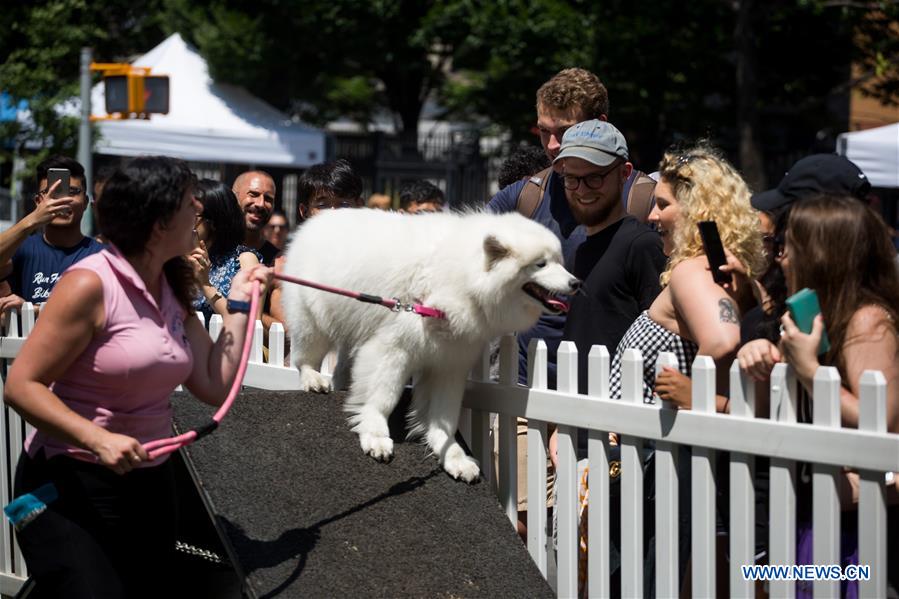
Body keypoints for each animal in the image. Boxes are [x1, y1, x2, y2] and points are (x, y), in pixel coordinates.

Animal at [282, 211, 576, 482]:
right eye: (540, 264)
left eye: (560, 262)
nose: (576, 282)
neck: (462, 281)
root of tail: (315, 219)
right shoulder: (393, 348)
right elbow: (383, 397)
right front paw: (375, 436)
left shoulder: (450, 362)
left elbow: (444, 416)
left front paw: (454, 457)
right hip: (312, 321)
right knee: (304, 357)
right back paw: (313, 379)